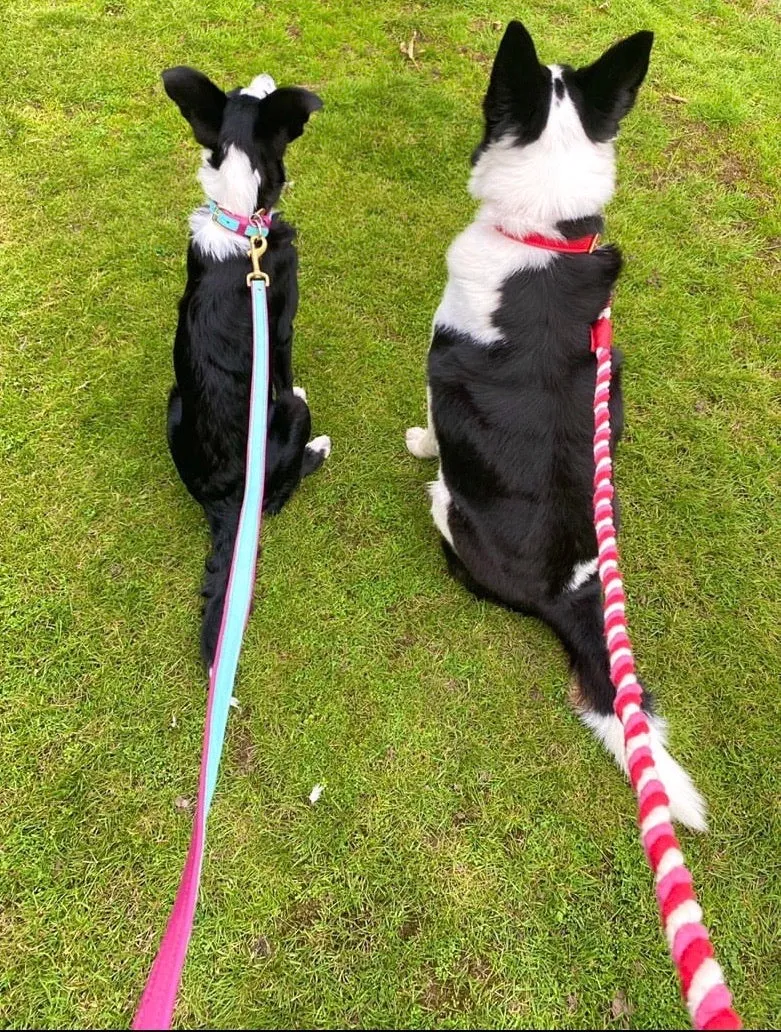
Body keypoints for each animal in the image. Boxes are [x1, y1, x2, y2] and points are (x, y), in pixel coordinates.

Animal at [161, 70, 328, 668]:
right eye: (257, 96)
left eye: (240, 95)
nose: (264, 75)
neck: (239, 221)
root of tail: (228, 501)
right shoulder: (282, 327)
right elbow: (284, 368)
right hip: (290, 419)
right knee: (279, 494)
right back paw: (317, 449)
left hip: (175, 400)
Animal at [404, 22, 705, 829]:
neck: (546, 236)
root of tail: (570, 589)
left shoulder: (437, 365)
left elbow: (431, 422)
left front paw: (417, 441)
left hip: (451, 508)